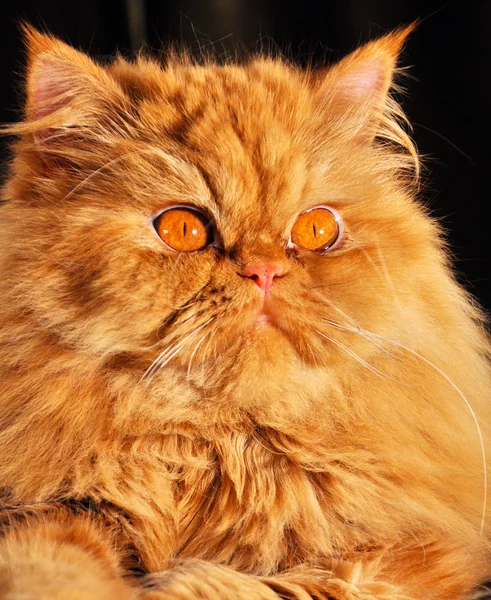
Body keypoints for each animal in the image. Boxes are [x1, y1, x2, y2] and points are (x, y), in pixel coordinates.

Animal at [0, 22, 491, 600]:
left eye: (316, 230)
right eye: (183, 230)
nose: (264, 271)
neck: (225, 448)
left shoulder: (412, 555)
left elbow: (262, 586)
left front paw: (178, 584)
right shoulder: (52, 510)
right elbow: (47, 564)